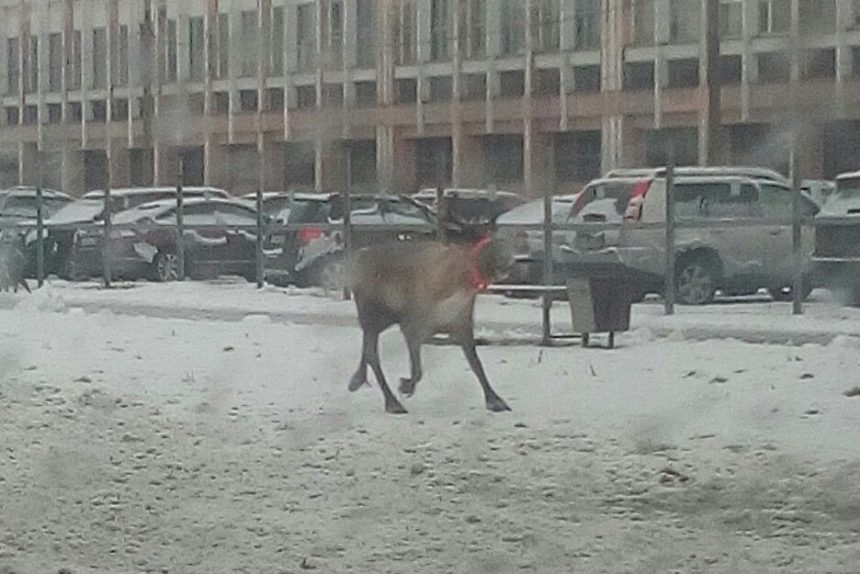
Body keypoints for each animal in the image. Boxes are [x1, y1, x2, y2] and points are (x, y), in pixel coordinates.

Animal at [347, 237, 514, 415]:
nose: (508, 263)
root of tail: (358, 256)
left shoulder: (461, 324)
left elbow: (476, 364)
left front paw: (494, 400)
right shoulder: (412, 325)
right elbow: (418, 370)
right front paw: (405, 385)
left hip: (384, 319)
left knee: (367, 349)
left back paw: (357, 381)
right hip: (373, 315)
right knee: (372, 354)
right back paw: (392, 403)